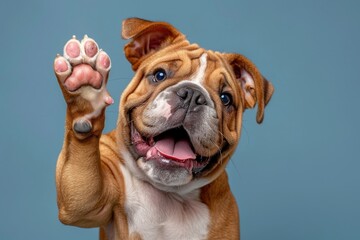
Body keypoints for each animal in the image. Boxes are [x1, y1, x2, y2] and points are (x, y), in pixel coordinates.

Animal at [52, 17, 272, 239]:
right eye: (160, 74)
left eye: (225, 98)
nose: (192, 95)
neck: (169, 195)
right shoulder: (91, 200)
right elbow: (84, 195)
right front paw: (85, 87)